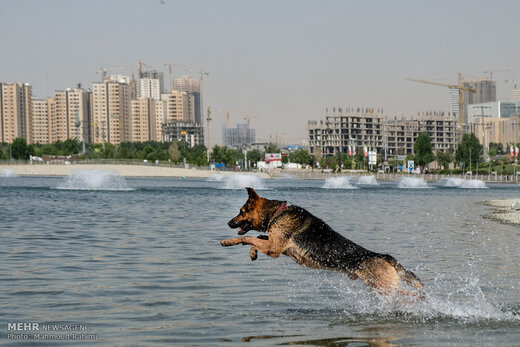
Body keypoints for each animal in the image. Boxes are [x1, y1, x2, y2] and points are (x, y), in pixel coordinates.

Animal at [219, 188, 422, 296]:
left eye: (241, 211)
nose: (228, 223)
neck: (276, 212)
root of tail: (384, 256)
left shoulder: (274, 248)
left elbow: (247, 237)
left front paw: (229, 242)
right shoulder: (275, 245)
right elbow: (255, 239)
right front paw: (249, 250)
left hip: (384, 288)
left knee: (410, 295)